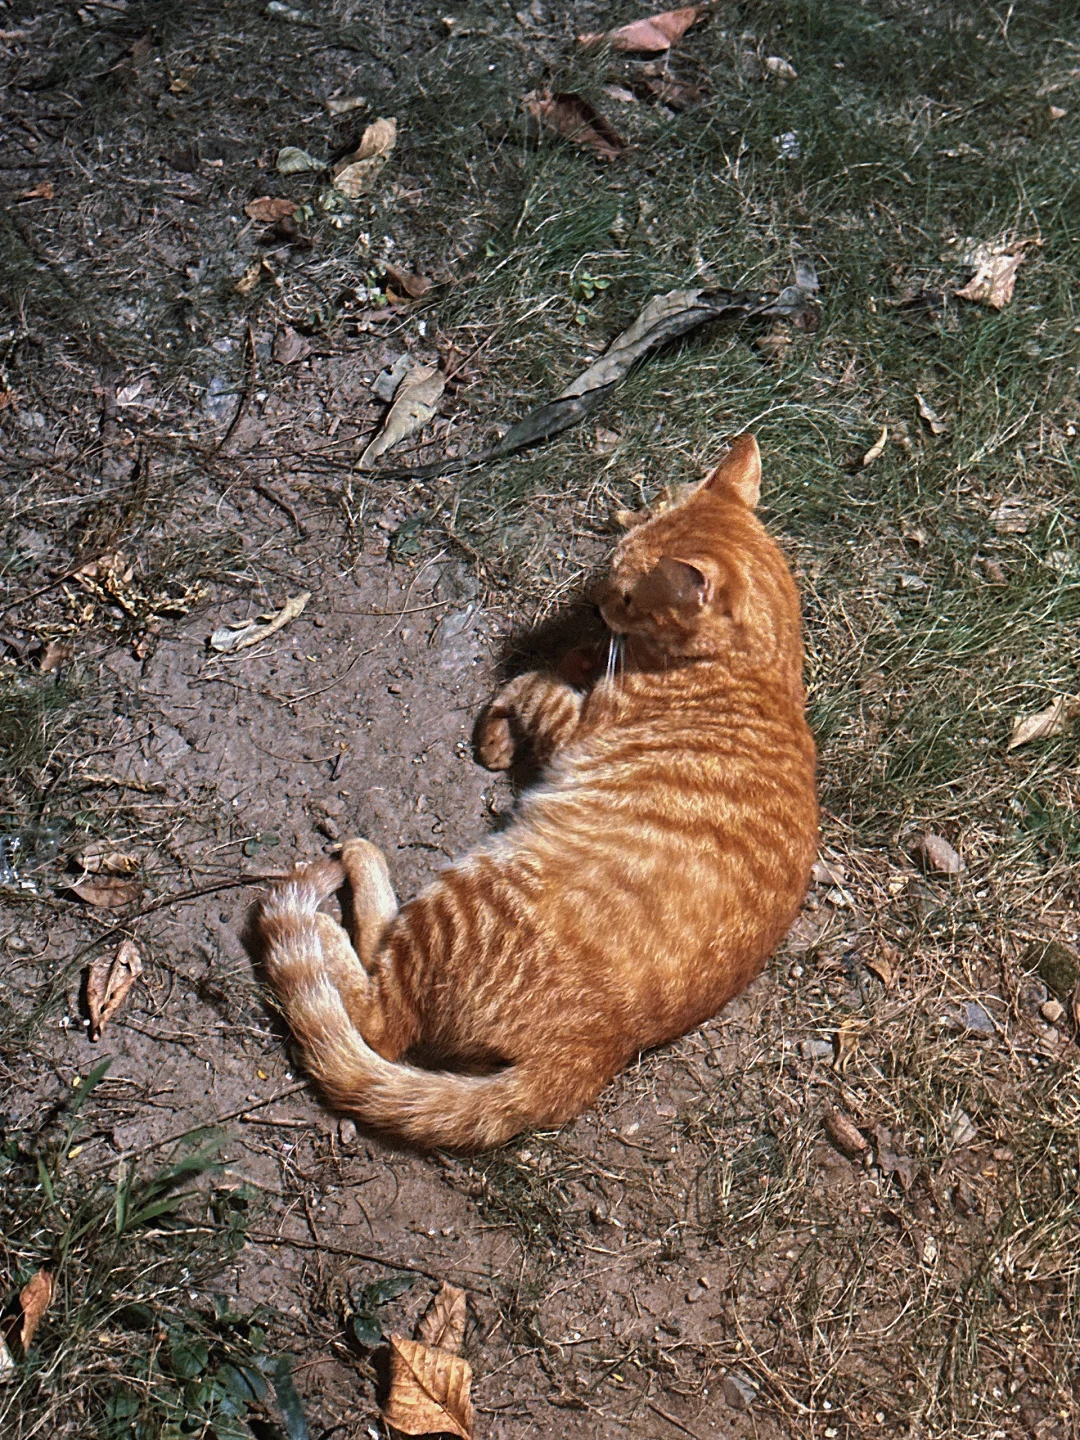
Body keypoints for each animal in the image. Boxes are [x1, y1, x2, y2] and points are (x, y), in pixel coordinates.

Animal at [253, 432, 817, 1152]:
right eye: (612, 569)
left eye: (627, 595)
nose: (597, 599)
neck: (761, 663)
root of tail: (588, 1060)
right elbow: (554, 668)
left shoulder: (572, 724)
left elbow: (529, 685)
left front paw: (497, 733)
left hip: (464, 895)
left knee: (380, 1017)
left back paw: (340, 897)